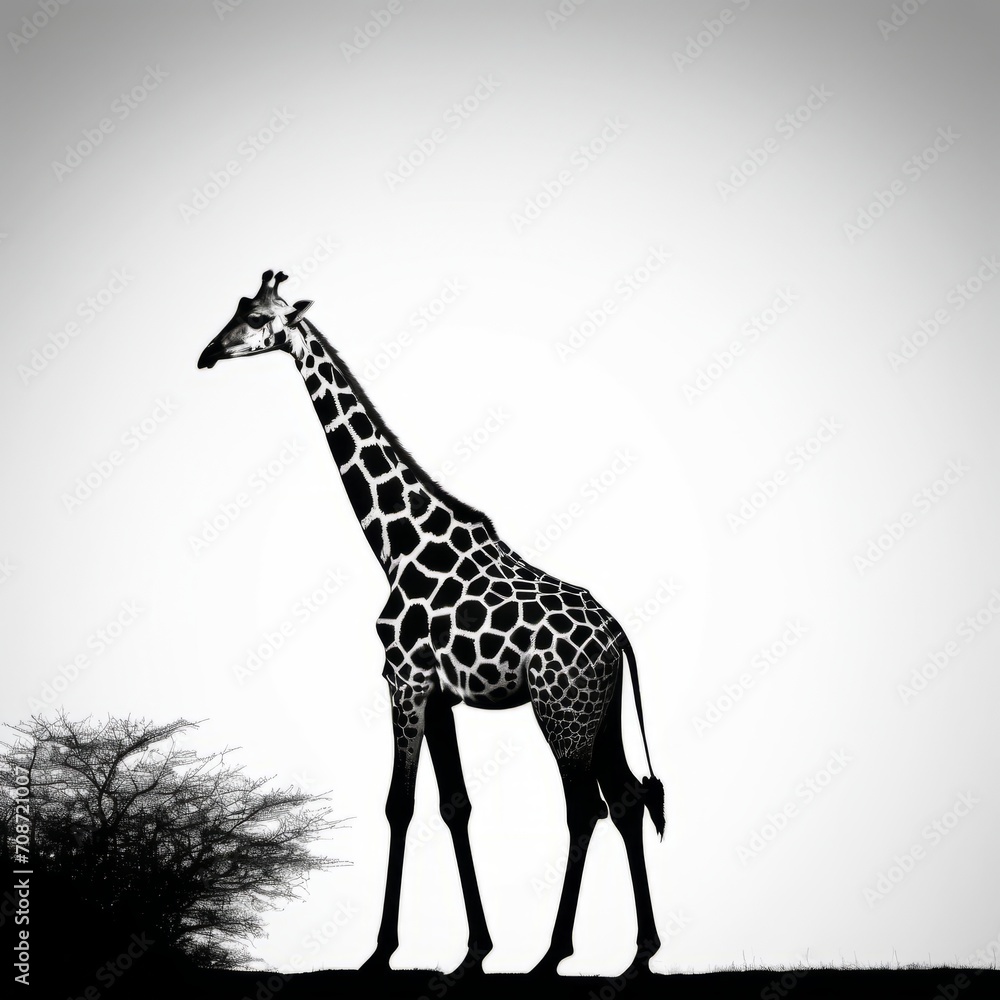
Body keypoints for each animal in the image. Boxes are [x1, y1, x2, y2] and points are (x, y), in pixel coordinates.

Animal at [197, 270, 666, 976]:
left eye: (255, 318)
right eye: (237, 307)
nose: (207, 354)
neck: (397, 545)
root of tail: (620, 639)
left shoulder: (403, 679)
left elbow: (400, 804)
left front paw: (381, 951)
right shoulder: (440, 693)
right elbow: (454, 805)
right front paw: (473, 952)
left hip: (560, 707)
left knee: (587, 806)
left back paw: (553, 955)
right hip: (599, 711)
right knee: (630, 797)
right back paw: (639, 955)